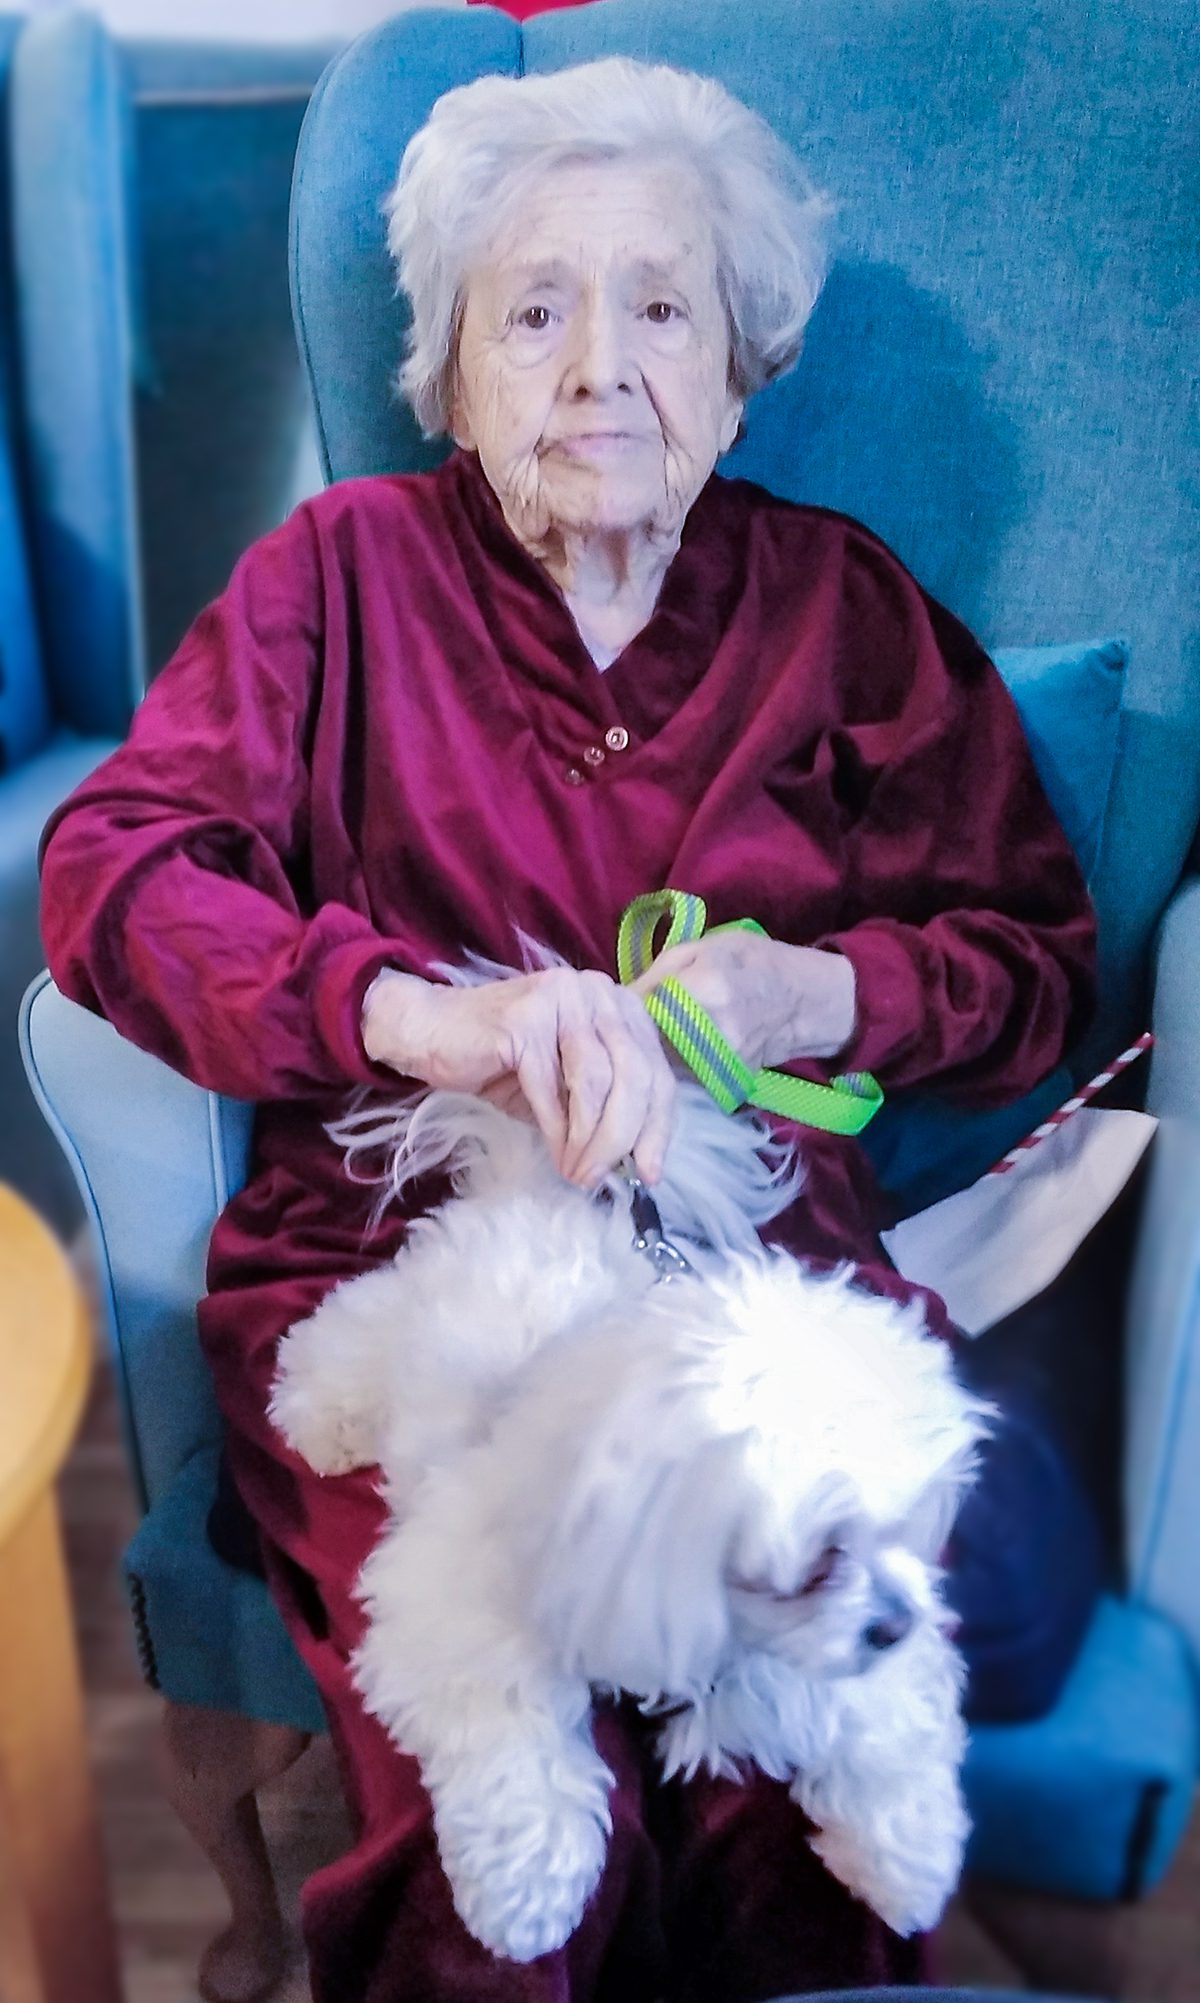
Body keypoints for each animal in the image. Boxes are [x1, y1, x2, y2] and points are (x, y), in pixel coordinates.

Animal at [270, 1073, 985, 1962]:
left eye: (904, 1526)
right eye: (817, 1561)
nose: (893, 1623)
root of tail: (543, 1190)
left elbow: (888, 1719)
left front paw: (905, 1864)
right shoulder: (456, 1597)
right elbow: (509, 1734)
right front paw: (527, 1895)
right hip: (396, 1318)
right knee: (347, 1333)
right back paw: (320, 1413)